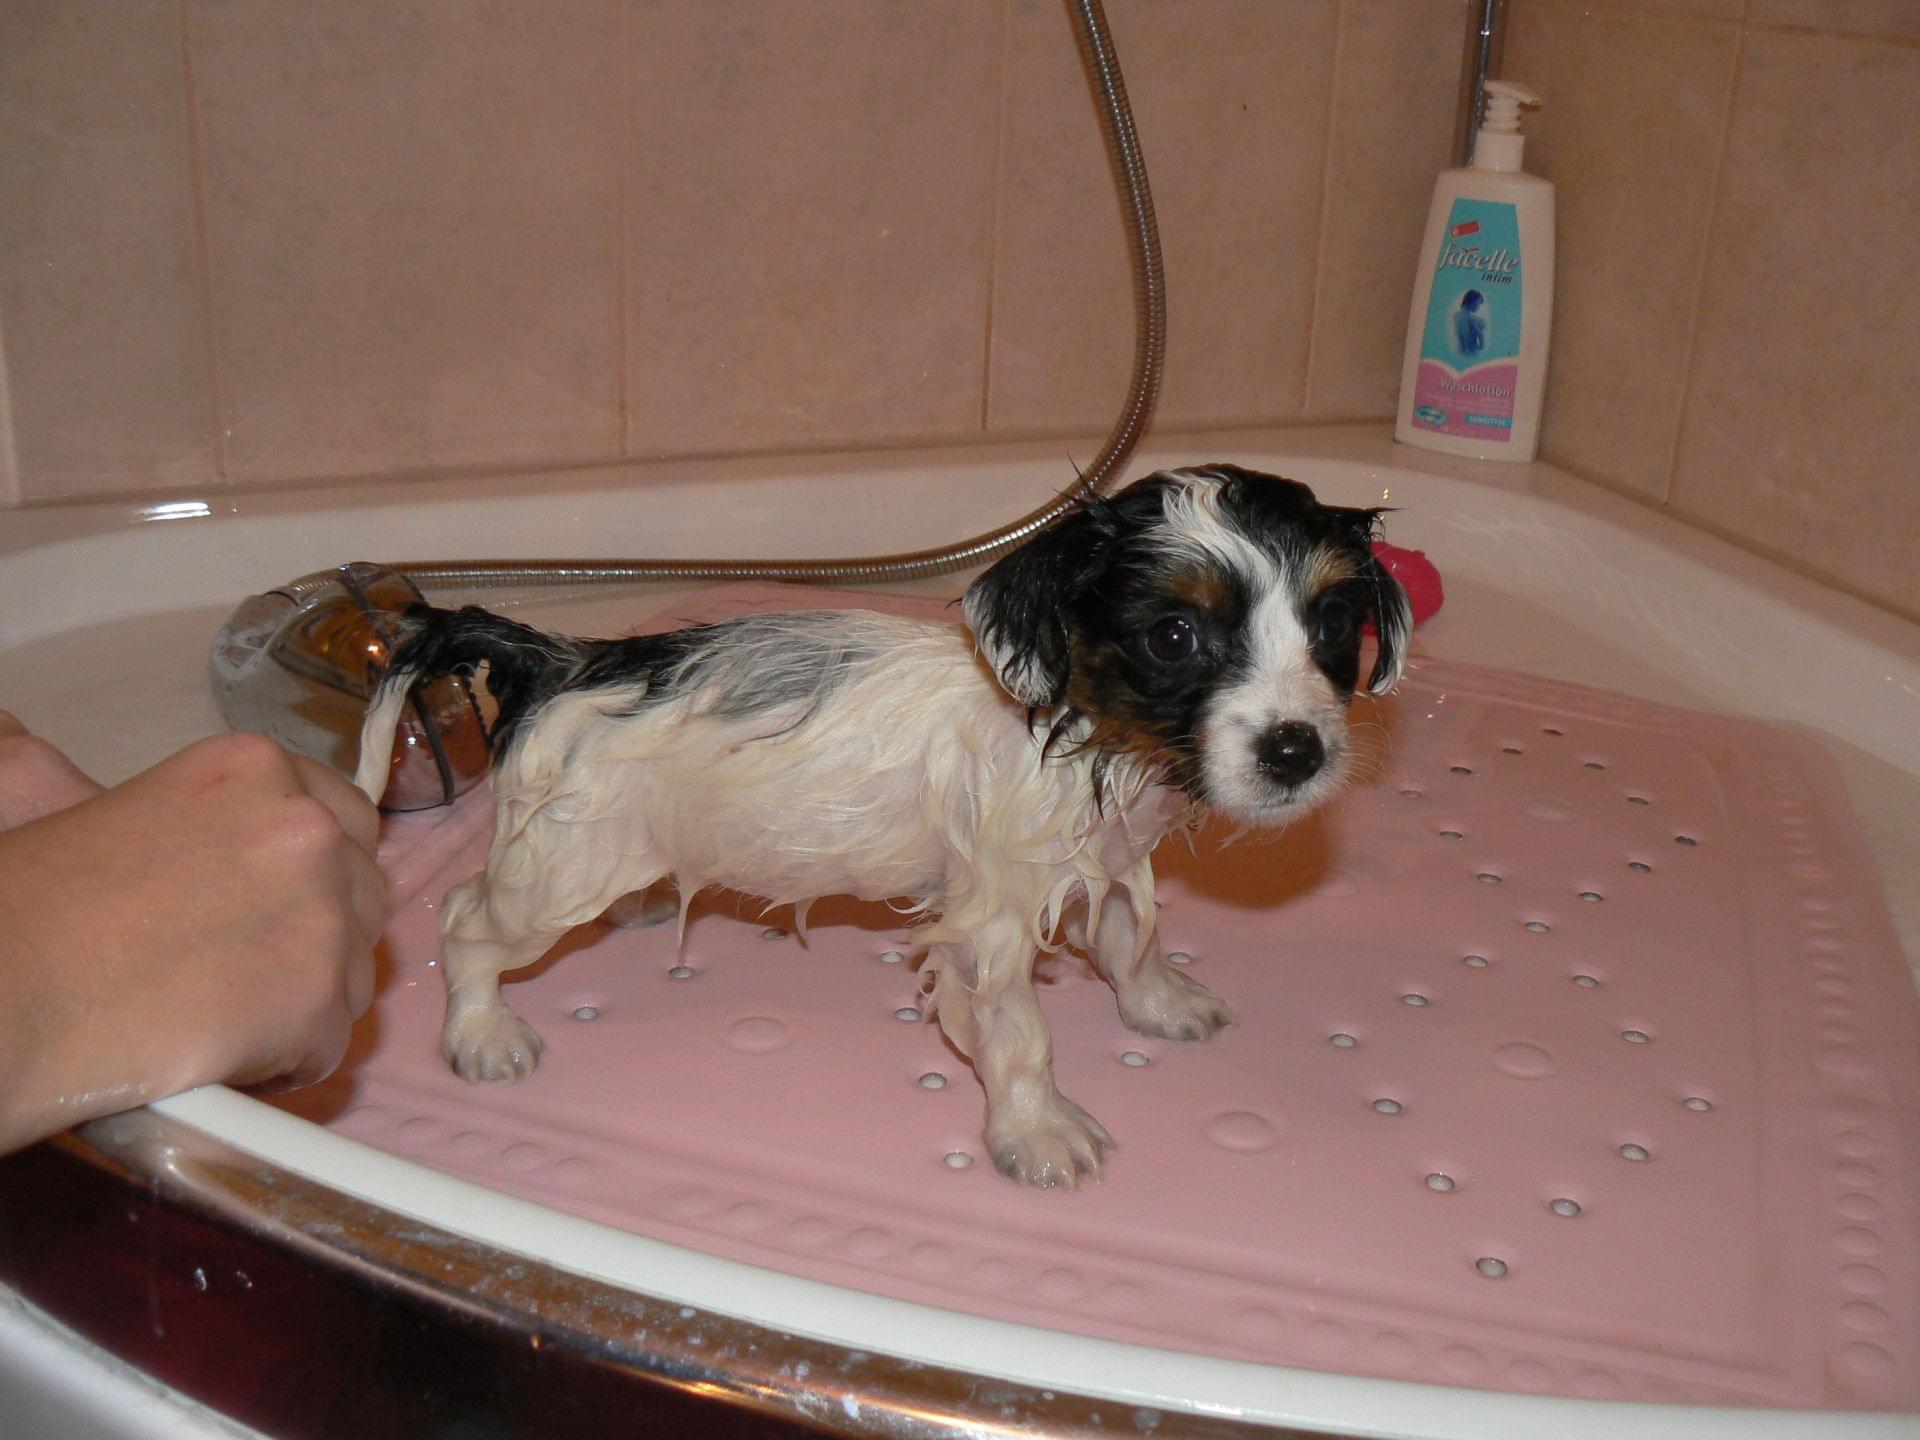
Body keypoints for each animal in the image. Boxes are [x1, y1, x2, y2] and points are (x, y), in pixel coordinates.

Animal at [354, 463, 1411, 1186]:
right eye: (1177, 636)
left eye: (1333, 626)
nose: (1294, 750)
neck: (1093, 735)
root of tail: (563, 658)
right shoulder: (988, 923)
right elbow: (1021, 1034)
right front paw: (1039, 1132)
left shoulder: (1105, 858)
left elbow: (1127, 935)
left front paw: (1160, 1002)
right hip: (560, 872)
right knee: (466, 924)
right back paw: (481, 1031)